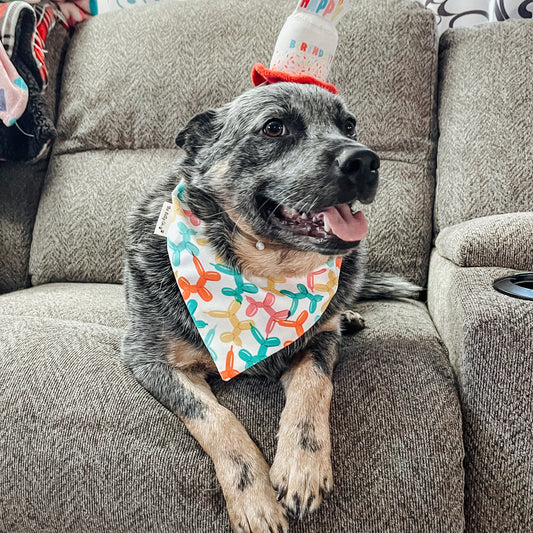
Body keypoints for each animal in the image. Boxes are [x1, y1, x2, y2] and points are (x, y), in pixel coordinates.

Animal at [121, 80, 420, 532]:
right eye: (274, 127)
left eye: (349, 125)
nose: (366, 160)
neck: (264, 272)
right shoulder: (150, 361)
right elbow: (217, 419)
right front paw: (254, 498)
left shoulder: (318, 344)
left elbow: (314, 387)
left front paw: (302, 466)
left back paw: (348, 315)